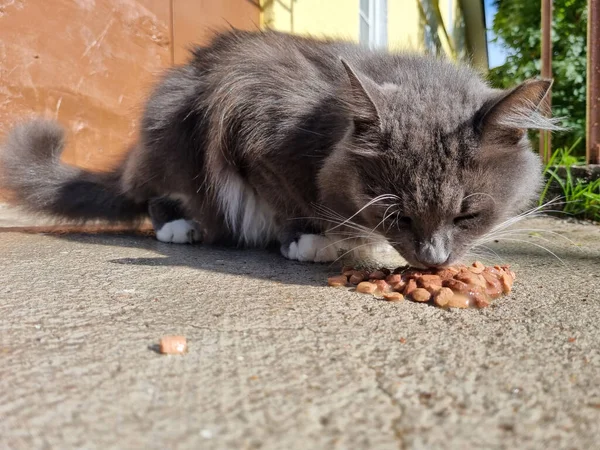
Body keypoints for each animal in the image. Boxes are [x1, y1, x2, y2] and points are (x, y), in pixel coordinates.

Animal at [0, 30, 556, 268]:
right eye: (398, 216)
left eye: (467, 216)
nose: (434, 262)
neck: (327, 124)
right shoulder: (252, 129)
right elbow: (290, 198)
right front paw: (310, 242)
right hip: (172, 132)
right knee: (157, 196)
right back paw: (184, 228)